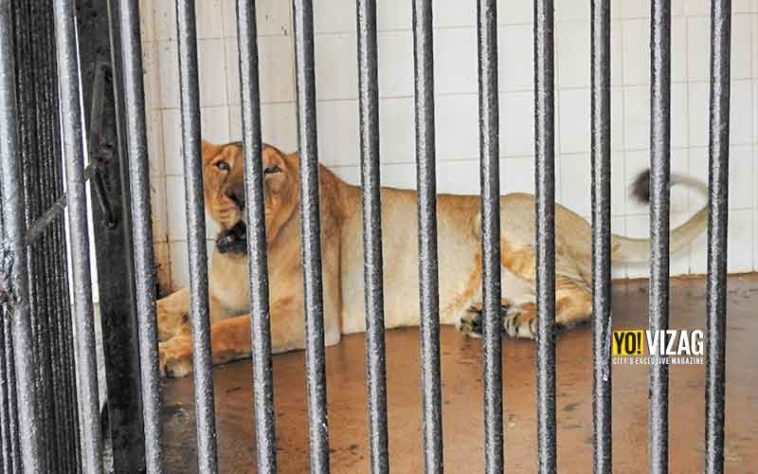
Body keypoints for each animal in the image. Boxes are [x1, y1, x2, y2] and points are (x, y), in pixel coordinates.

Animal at [157, 139, 708, 376]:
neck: (241, 254)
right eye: (221, 164)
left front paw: (174, 352)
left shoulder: (307, 318)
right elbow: (175, 305)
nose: (238, 195)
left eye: (270, 169)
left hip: (498, 219)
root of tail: (585, 221)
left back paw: (528, 321)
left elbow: (230, 329)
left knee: (591, 294)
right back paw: (490, 317)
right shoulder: (212, 290)